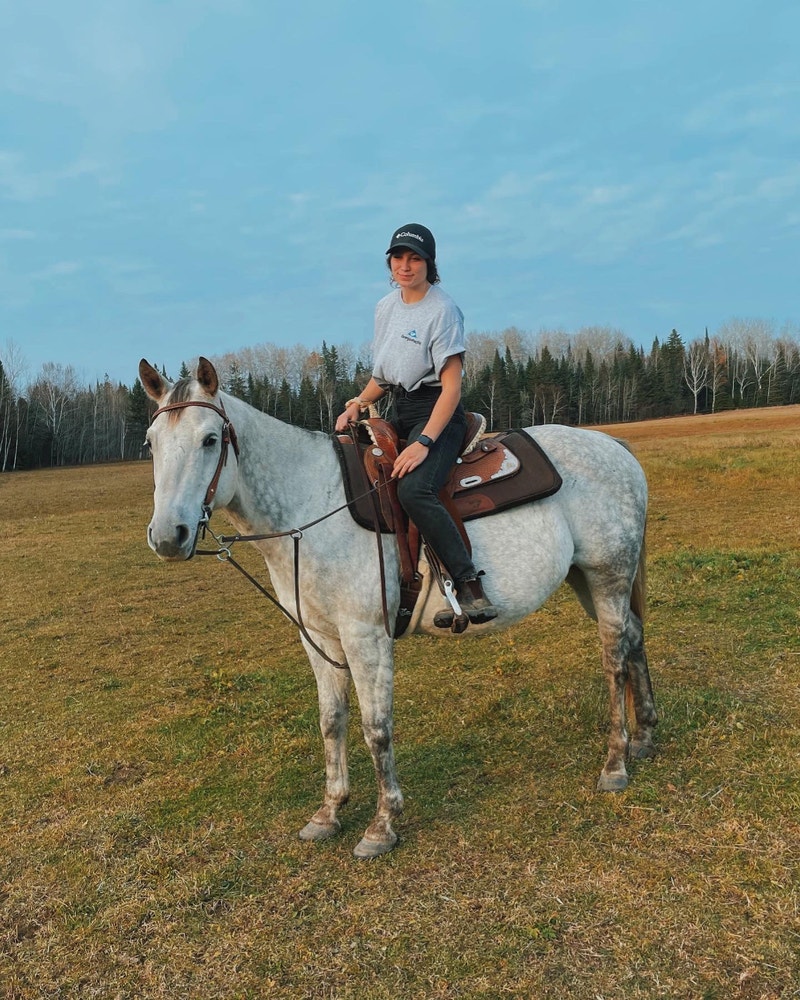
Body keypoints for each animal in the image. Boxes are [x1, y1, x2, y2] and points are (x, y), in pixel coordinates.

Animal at [139, 357, 657, 859]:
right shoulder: (317, 636)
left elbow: (377, 727)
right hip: (586, 579)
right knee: (634, 639)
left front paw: (382, 824)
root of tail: (614, 445)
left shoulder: (365, 635)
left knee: (613, 659)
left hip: (609, 575)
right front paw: (328, 813)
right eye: (150, 443)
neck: (310, 504)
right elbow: (331, 720)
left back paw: (615, 764)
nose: (168, 536)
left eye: (210, 439)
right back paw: (645, 737)